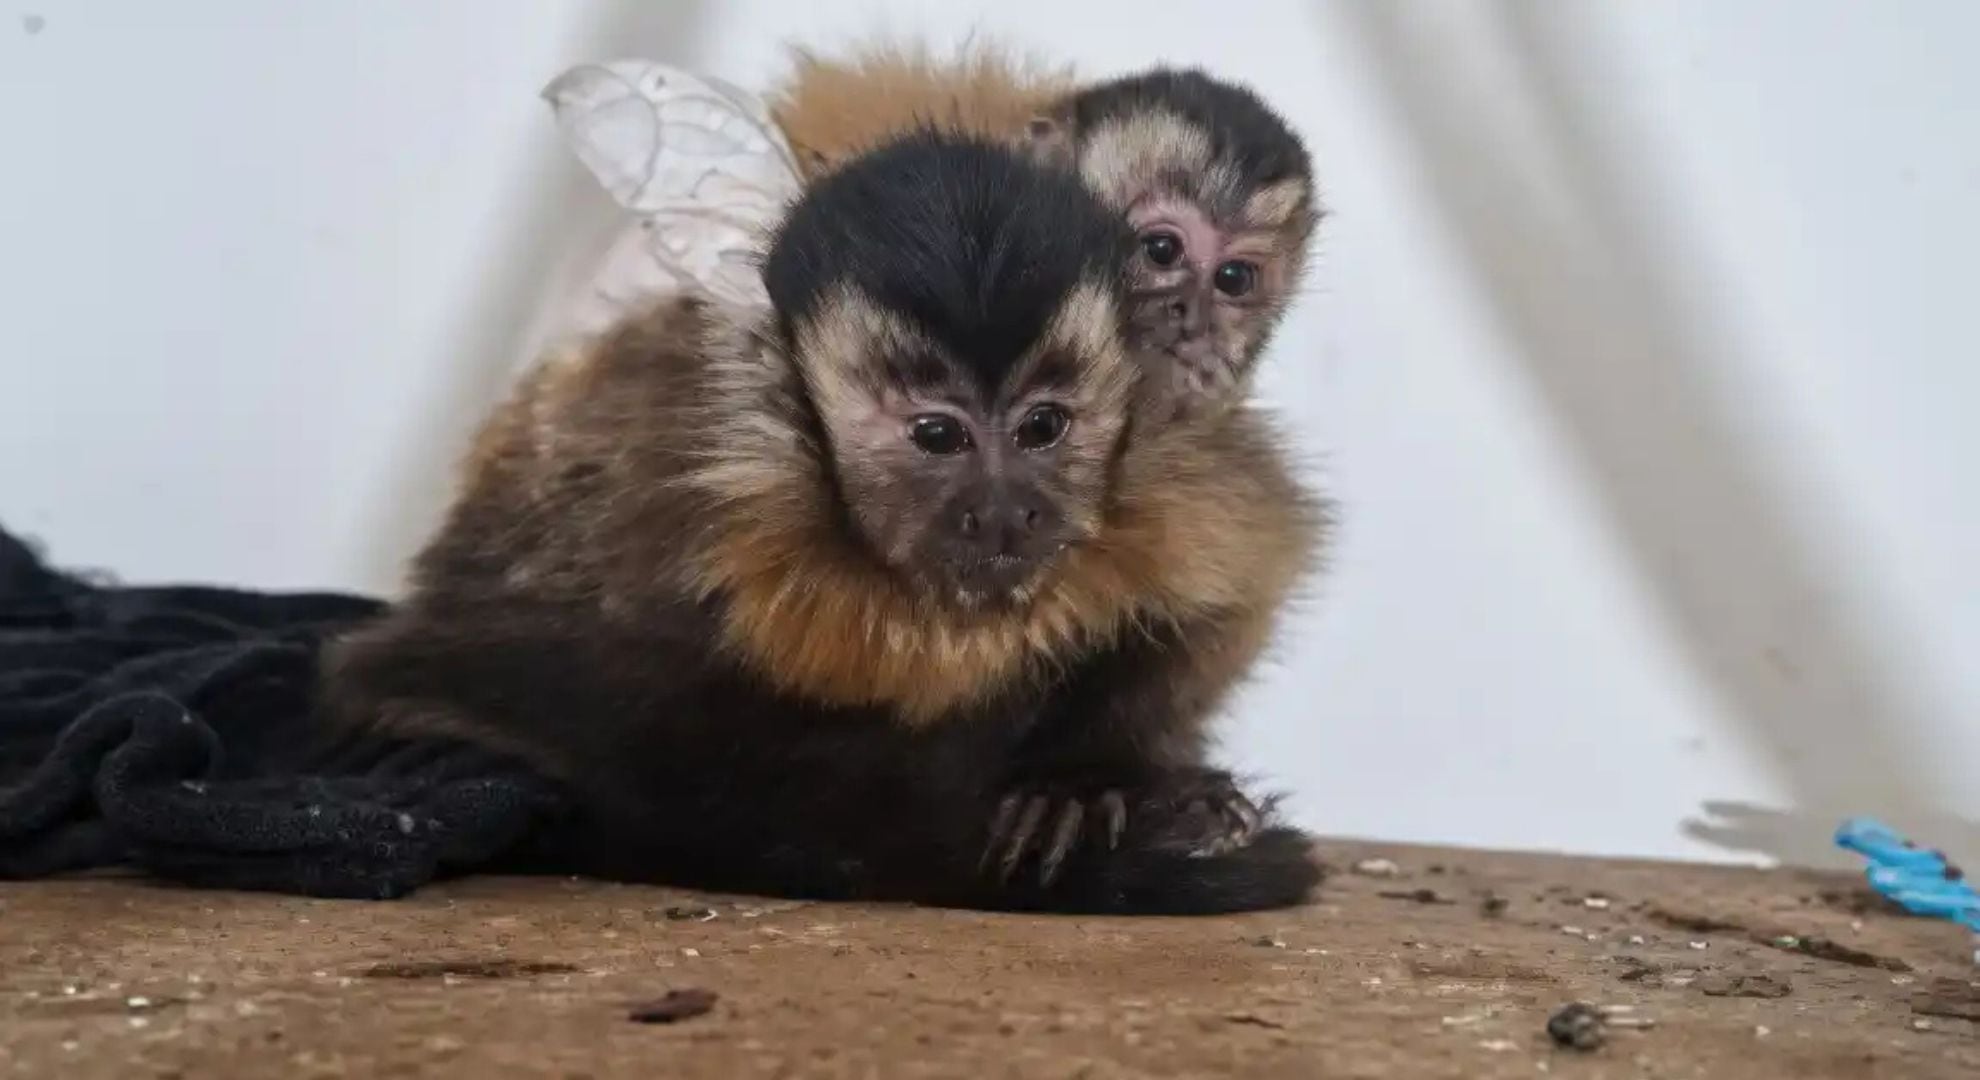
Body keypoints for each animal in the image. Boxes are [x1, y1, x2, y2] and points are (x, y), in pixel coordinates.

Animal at [319, 129, 1327, 914]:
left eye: (1043, 428)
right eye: (937, 435)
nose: (1004, 512)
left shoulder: (1167, 476)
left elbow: (1225, 602)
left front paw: (1091, 775)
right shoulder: (682, 509)